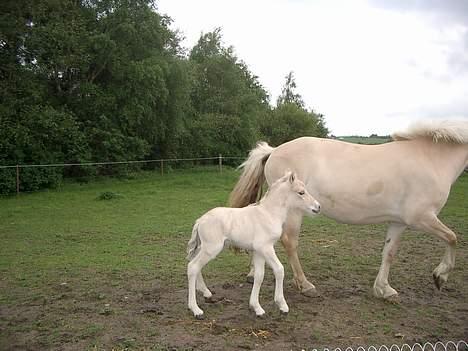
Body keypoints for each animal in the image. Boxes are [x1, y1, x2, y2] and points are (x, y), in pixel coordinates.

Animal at [186, 172, 322, 320]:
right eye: (301, 192)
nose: (318, 207)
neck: (269, 214)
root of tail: (200, 220)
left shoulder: (258, 251)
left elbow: (259, 276)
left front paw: (257, 308)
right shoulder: (266, 247)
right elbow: (279, 270)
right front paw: (282, 305)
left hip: (205, 248)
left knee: (195, 265)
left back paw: (206, 293)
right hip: (211, 248)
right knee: (193, 267)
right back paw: (196, 310)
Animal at [230, 120, 468, 300]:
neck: (431, 159)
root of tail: (274, 151)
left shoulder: (399, 222)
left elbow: (389, 253)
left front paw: (384, 289)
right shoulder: (422, 217)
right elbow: (452, 238)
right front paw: (440, 276)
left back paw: (253, 273)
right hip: (293, 211)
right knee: (290, 243)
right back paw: (305, 285)